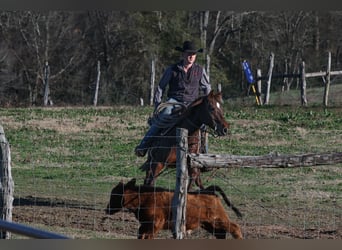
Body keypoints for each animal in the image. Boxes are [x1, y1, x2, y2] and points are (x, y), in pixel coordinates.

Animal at [105, 179, 242, 239]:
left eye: (115, 195)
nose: (107, 209)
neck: (145, 198)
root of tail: (209, 191)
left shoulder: (155, 224)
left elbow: (146, 236)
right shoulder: (145, 225)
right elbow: (140, 235)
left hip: (218, 219)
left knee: (235, 227)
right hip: (208, 224)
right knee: (221, 234)